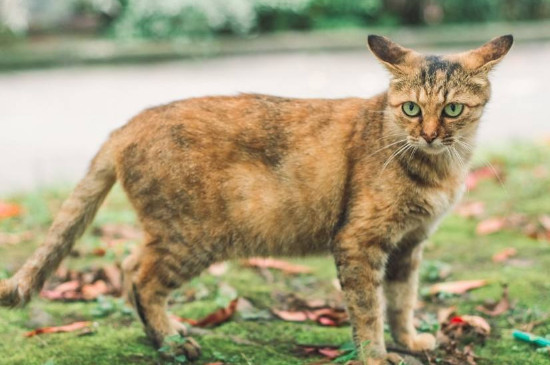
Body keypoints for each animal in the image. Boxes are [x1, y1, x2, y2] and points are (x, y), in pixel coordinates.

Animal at [0, 33, 512, 362]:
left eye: (452, 109)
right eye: (410, 108)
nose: (428, 135)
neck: (437, 169)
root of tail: (130, 123)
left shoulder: (409, 245)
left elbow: (401, 301)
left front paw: (408, 341)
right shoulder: (359, 243)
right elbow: (369, 310)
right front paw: (377, 356)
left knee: (128, 268)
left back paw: (165, 334)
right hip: (192, 239)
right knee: (141, 279)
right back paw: (171, 343)